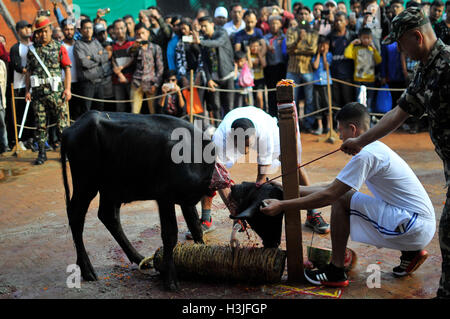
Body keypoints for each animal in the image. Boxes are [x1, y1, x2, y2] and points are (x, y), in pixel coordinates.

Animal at [61, 111, 214, 292]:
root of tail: (71, 128)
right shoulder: (165, 197)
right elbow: (170, 234)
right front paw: (170, 279)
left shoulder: (186, 201)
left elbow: (195, 226)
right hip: (86, 184)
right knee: (76, 217)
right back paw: (87, 270)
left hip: (110, 188)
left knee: (108, 216)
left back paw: (138, 258)